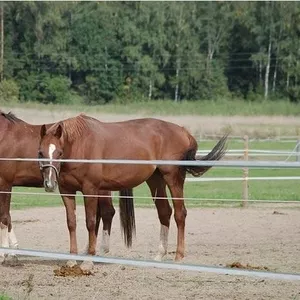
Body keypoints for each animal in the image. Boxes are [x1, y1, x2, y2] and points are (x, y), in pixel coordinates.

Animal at [0, 111, 132, 264]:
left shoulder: (5, 183)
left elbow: (4, 217)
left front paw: (4, 254)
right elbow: (8, 216)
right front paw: (13, 252)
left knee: (106, 212)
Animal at [39, 113, 227, 262]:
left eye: (59, 153)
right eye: (41, 152)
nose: (49, 183)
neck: (80, 145)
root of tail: (184, 132)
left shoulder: (90, 189)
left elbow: (90, 222)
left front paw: (89, 258)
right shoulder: (66, 191)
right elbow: (71, 223)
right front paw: (71, 260)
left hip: (173, 178)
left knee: (180, 213)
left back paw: (179, 255)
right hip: (155, 180)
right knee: (164, 212)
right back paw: (160, 254)